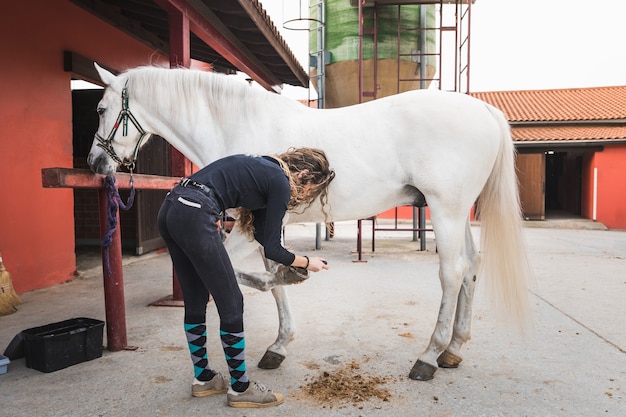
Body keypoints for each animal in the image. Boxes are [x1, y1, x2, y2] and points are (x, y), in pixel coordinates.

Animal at [85, 62, 528, 380]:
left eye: (101, 109)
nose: (95, 162)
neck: (238, 125)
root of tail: (484, 109)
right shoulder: (267, 227)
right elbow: (274, 274)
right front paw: (279, 344)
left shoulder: (247, 228)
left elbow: (252, 273)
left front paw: (277, 300)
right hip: (456, 214)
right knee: (472, 267)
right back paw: (453, 349)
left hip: (445, 211)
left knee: (452, 272)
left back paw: (428, 357)